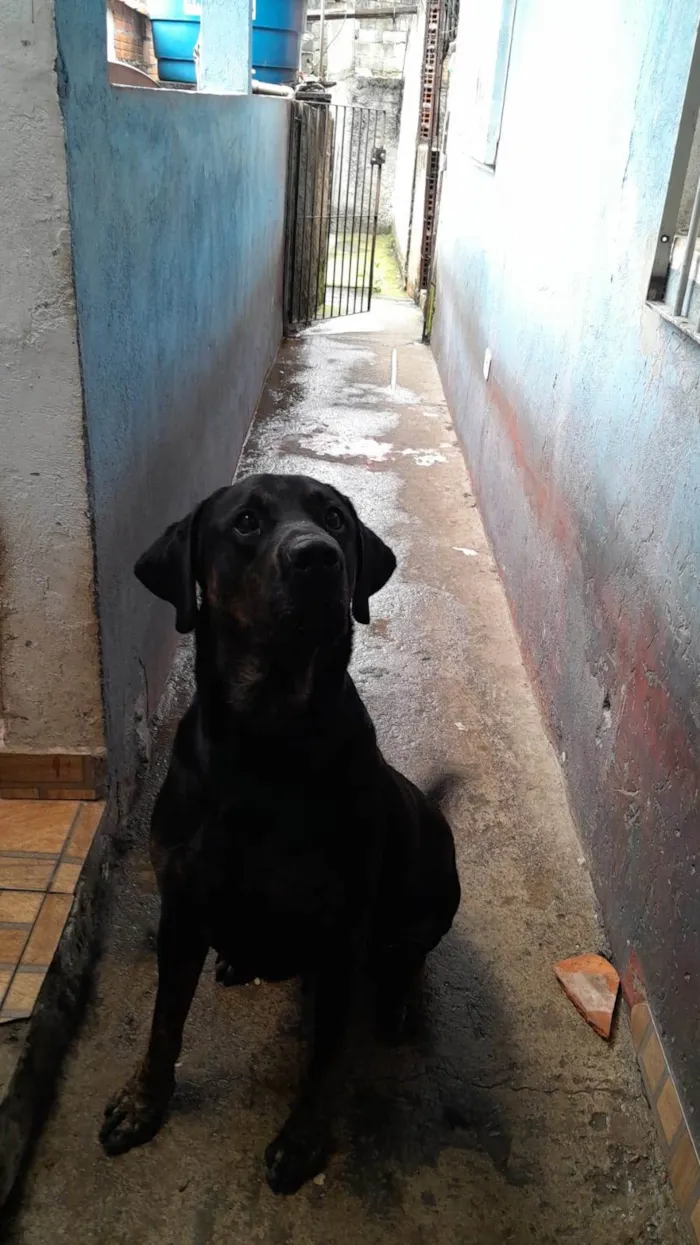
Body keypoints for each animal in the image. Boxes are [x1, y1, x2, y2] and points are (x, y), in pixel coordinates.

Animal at [98, 470, 458, 1190]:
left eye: (335, 519)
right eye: (246, 521)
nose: (318, 556)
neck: (268, 740)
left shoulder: (344, 932)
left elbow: (327, 1055)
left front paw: (303, 1137)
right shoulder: (181, 910)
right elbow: (163, 1024)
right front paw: (143, 1102)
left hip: (435, 887)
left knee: (410, 956)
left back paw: (400, 1001)